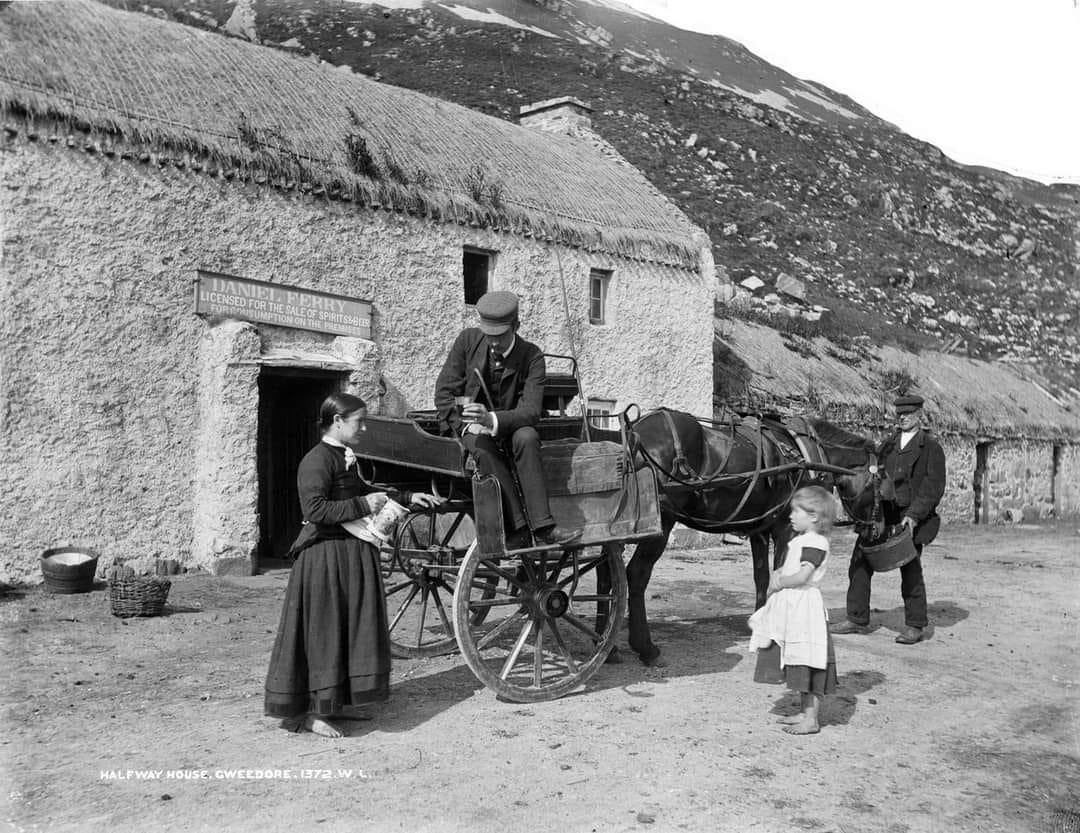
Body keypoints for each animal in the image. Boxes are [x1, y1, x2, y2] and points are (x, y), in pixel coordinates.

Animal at [596, 406, 881, 669]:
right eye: (875, 483)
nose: (874, 530)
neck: (804, 453)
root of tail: (633, 435)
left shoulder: (759, 531)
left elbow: (762, 577)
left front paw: (761, 620)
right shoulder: (785, 529)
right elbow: (780, 575)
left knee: (606, 574)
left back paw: (606, 646)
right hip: (661, 524)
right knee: (636, 575)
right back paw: (645, 648)